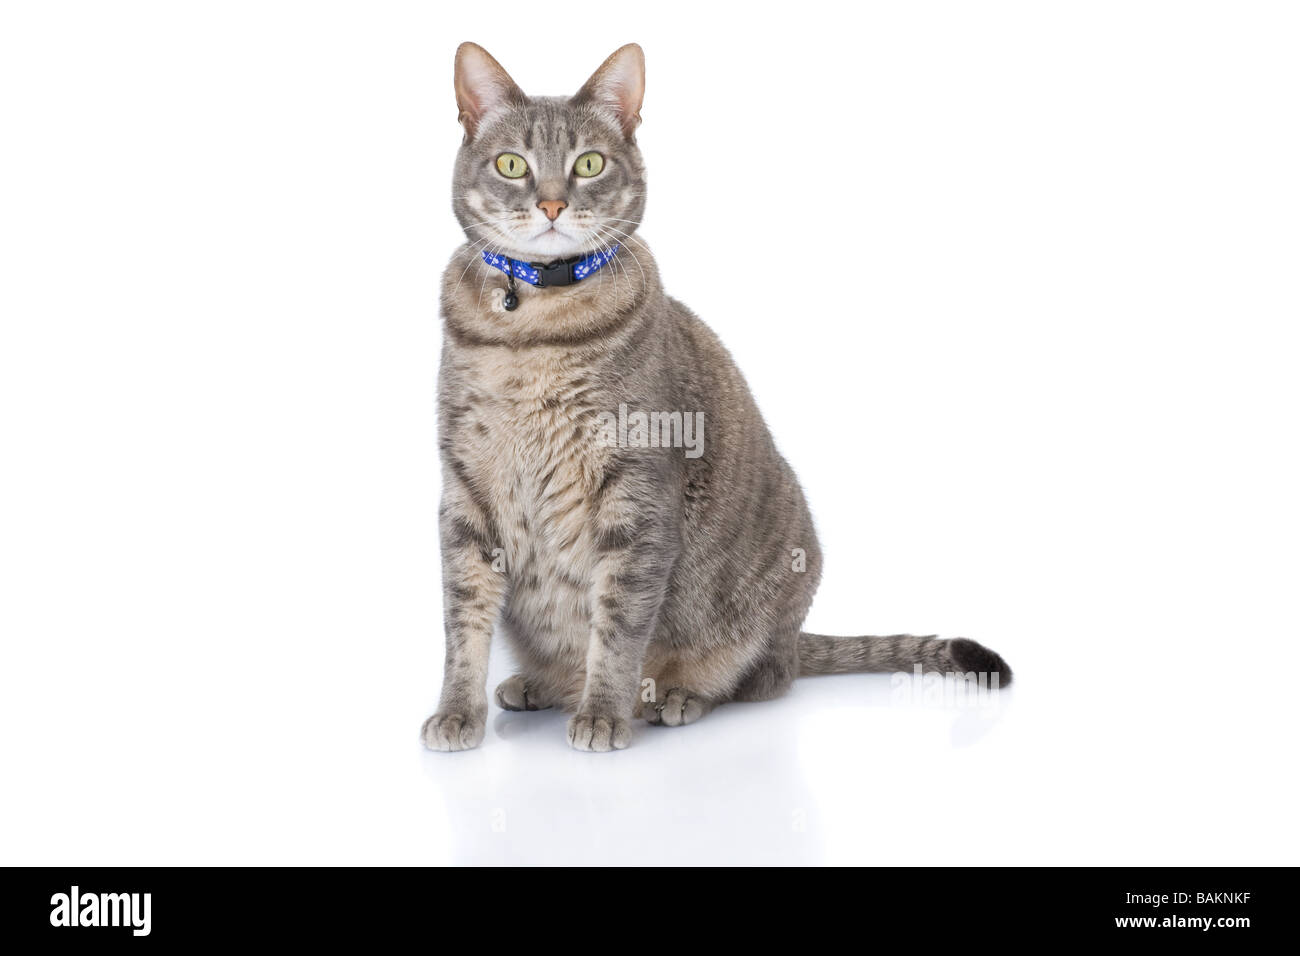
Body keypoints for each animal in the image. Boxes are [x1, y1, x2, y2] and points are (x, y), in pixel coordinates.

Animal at [421, 42, 1008, 754]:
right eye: (513, 164)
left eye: (589, 163)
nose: (554, 206)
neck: (533, 328)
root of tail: (794, 639)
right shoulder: (465, 490)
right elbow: (464, 619)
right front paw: (458, 711)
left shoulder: (635, 494)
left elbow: (616, 624)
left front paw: (603, 711)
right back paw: (538, 684)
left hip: (784, 569)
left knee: (759, 677)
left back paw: (672, 696)